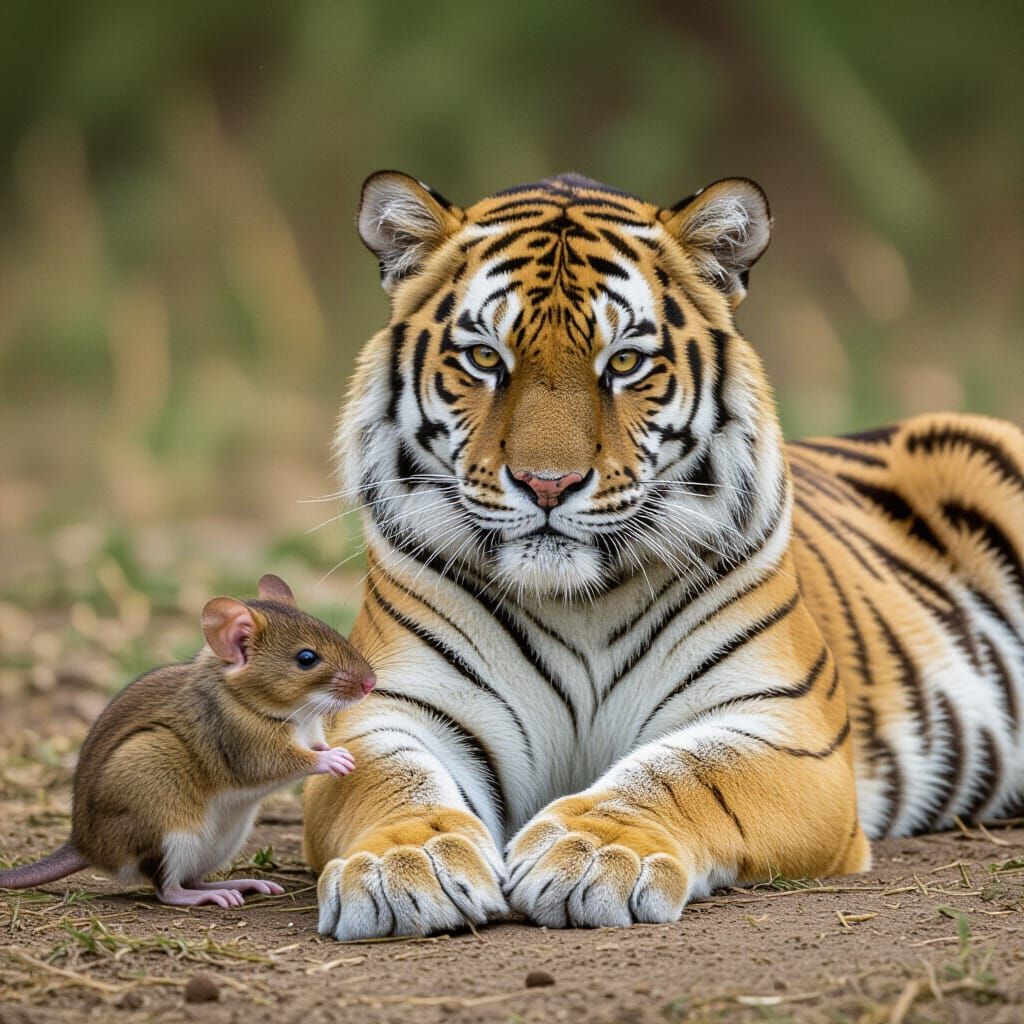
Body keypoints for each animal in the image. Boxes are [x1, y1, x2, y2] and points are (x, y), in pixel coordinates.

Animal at [304, 170, 1024, 940]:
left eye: (624, 362)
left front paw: (592, 852)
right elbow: (392, 781)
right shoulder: (384, 712)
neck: (577, 602)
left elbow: (684, 773)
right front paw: (403, 863)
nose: (547, 483)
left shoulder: (784, 726)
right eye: (484, 358)